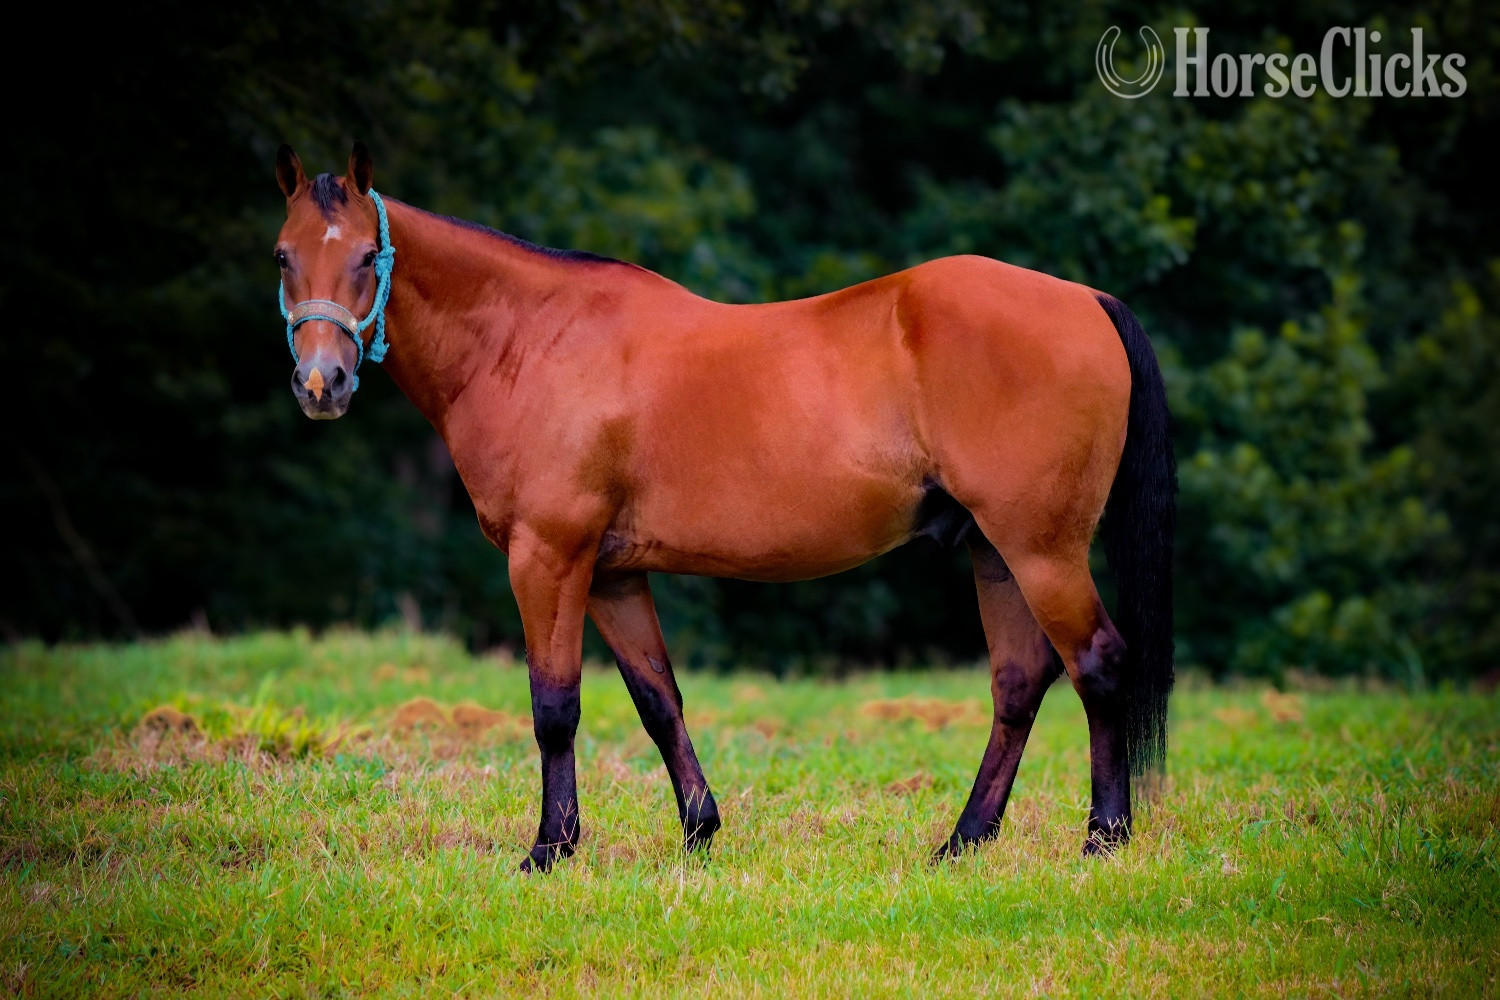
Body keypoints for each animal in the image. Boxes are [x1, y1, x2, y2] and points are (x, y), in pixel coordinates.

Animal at [273, 143, 1176, 872]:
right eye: (283, 255)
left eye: (367, 256)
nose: (322, 385)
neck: (531, 340)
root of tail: (1086, 299)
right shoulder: (611, 575)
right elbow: (657, 702)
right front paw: (699, 832)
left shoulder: (547, 557)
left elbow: (554, 707)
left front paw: (549, 849)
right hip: (997, 551)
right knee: (1019, 684)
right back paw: (963, 841)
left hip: (1042, 549)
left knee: (1098, 663)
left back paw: (1103, 837)